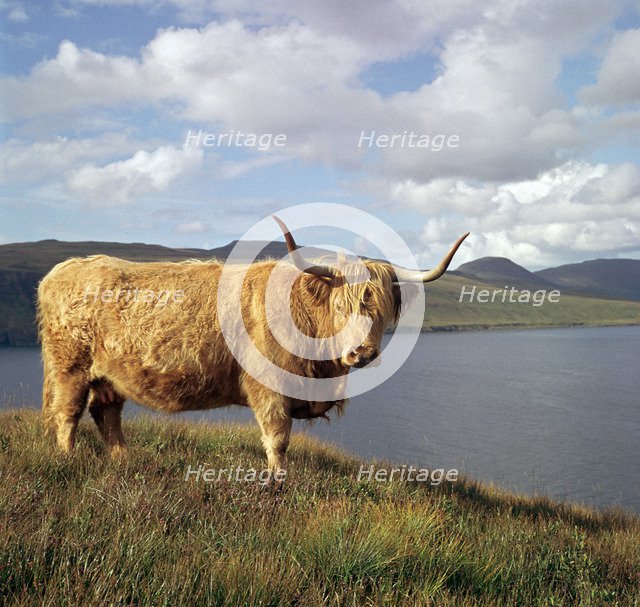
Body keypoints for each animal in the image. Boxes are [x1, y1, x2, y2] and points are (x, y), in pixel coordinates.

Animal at [38, 217, 468, 476]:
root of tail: (65, 268)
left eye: (379, 311)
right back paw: (67, 460)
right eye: (340, 306)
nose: (361, 353)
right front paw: (278, 482)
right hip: (70, 367)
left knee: (105, 412)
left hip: (109, 375)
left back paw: (124, 459)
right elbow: (277, 438)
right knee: (67, 413)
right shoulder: (269, 390)